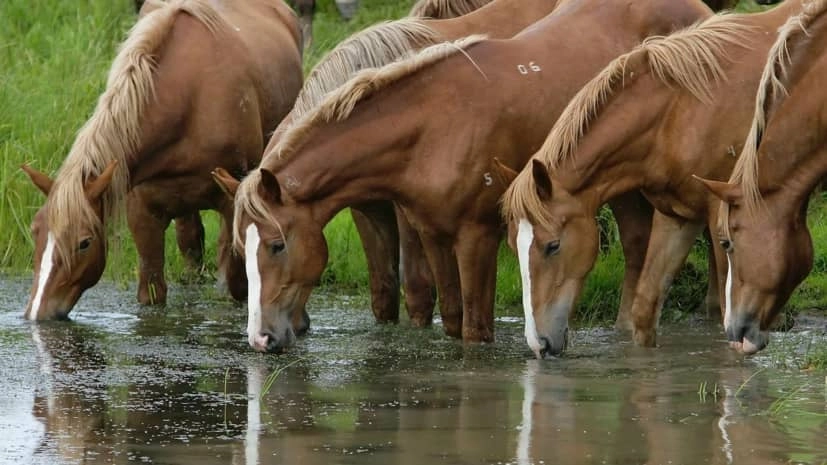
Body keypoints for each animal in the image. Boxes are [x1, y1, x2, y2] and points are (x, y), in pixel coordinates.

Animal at [21, 0, 302, 320]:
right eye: (35, 230)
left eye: (84, 242)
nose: (37, 313)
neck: (190, 98)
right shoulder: (143, 214)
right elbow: (152, 290)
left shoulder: (234, 204)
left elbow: (238, 284)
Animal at [212, 0, 712, 352]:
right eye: (241, 246)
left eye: (276, 245)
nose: (261, 338)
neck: (432, 126)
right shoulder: (429, 231)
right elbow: (447, 315)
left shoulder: (476, 236)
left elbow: (473, 327)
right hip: (617, 184)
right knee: (637, 244)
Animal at [498, 0, 804, 358]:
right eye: (512, 245)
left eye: (553, 246)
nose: (539, 344)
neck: (680, 111)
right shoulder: (677, 215)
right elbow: (645, 310)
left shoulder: (723, 221)